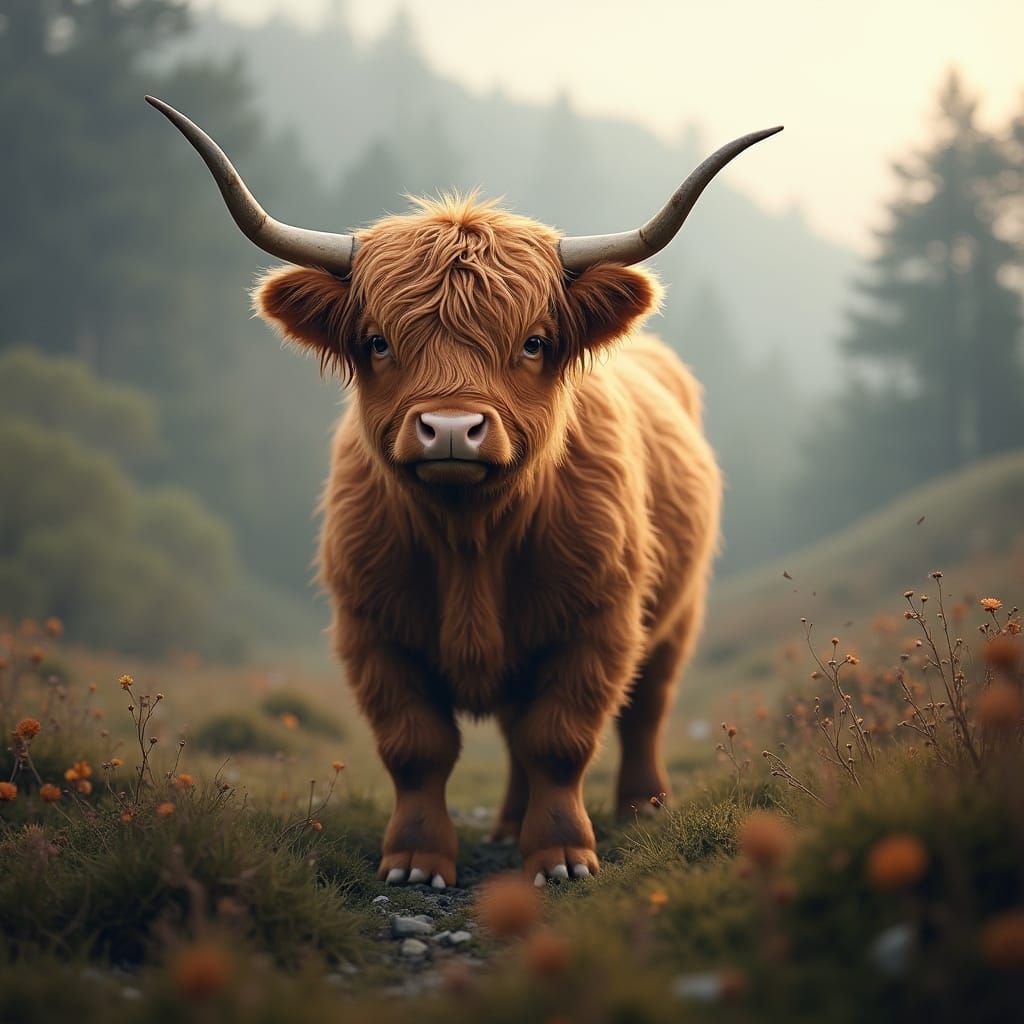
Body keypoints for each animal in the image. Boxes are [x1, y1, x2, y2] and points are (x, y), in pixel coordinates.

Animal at [148, 96, 781, 888]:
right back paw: (509, 824)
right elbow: (418, 747)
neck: (470, 538)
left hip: (676, 614)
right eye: (378, 341)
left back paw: (641, 808)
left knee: (645, 710)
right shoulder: (372, 629)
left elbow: (559, 740)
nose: (451, 429)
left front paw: (562, 856)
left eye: (535, 342)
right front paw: (416, 859)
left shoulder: (598, 623)